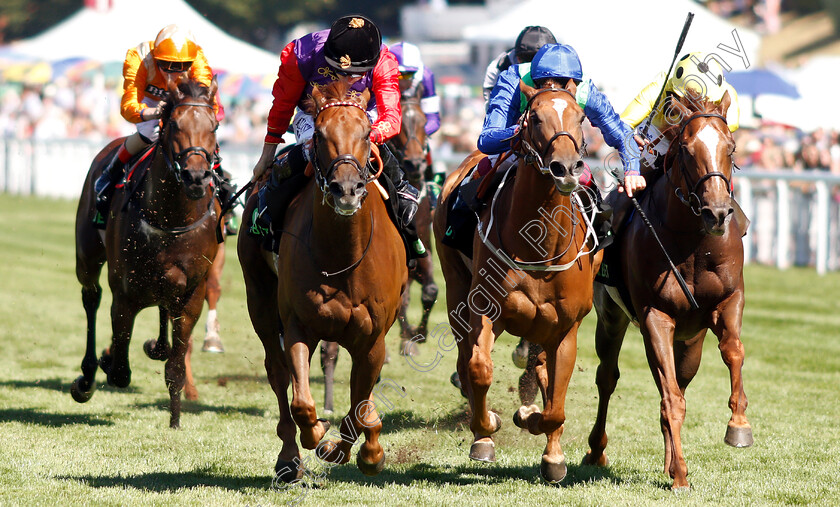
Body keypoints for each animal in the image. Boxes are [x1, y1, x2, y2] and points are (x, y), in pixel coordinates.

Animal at [72, 78, 221, 428]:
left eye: (214, 126)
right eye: (175, 125)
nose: (196, 176)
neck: (171, 217)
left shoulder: (192, 293)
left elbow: (176, 365)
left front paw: (175, 421)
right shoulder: (125, 291)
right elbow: (119, 370)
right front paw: (107, 361)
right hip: (87, 255)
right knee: (91, 297)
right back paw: (87, 376)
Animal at [238, 81, 408, 482]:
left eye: (367, 134)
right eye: (319, 135)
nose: (346, 189)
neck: (342, 259)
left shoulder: (373, 339)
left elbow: (361, 404)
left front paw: (367, 452)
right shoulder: (299, 326)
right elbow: (302, 401)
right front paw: (317, 433)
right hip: (260, 301)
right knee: (278, 373)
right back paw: (289, 458)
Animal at [434, 82, 604, 484]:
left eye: (581, 117)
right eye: (535, 117)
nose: (566, 167)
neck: (540, 244)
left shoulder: (565, 326)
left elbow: (555, 400)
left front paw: (550, 450)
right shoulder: (486, 311)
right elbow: (479, 370)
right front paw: (486, 432)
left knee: (540, 369)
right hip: (456, 289)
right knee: (466, 360)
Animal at [580, 89, 752, 490]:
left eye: (732, 147)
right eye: (687, 150)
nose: (717, 212)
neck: (693, 244)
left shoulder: (728, 301)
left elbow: (733, 351)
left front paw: (738, 425)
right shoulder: (655, 317)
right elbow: (670, 398)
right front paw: (682, 475)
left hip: (690, 341)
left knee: (681, 380)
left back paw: (668, 462)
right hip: (611, 318)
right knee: (608, 378)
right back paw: (598, 451)